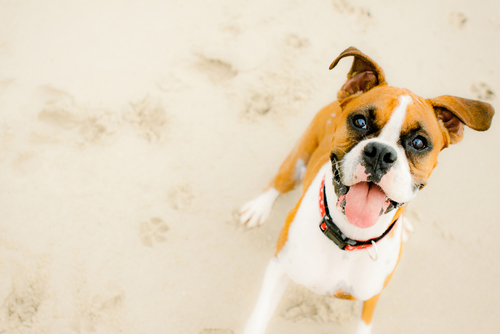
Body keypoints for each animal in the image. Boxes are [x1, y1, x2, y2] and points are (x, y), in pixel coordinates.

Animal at [240, 47, 494, 334]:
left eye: (419, 142)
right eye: (360, 121)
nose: (381, 153)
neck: (350, 239)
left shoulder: (372, 298)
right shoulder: (279, 268)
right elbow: (258, 318)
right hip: (298, 161)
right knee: (280, 181)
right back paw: (259, 207)